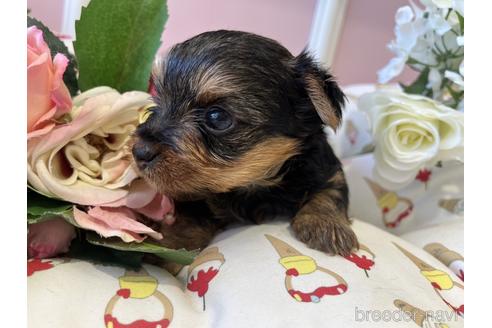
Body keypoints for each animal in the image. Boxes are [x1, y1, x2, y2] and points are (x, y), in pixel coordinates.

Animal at [133, 30, 360, 256]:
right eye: (155, 105)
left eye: (217, 117)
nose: (139, 151)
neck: (255, 184)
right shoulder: (193, 193)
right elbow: (193, 215)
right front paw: (171, 243)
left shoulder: (327, 168)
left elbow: (332, 190)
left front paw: (327, 225)